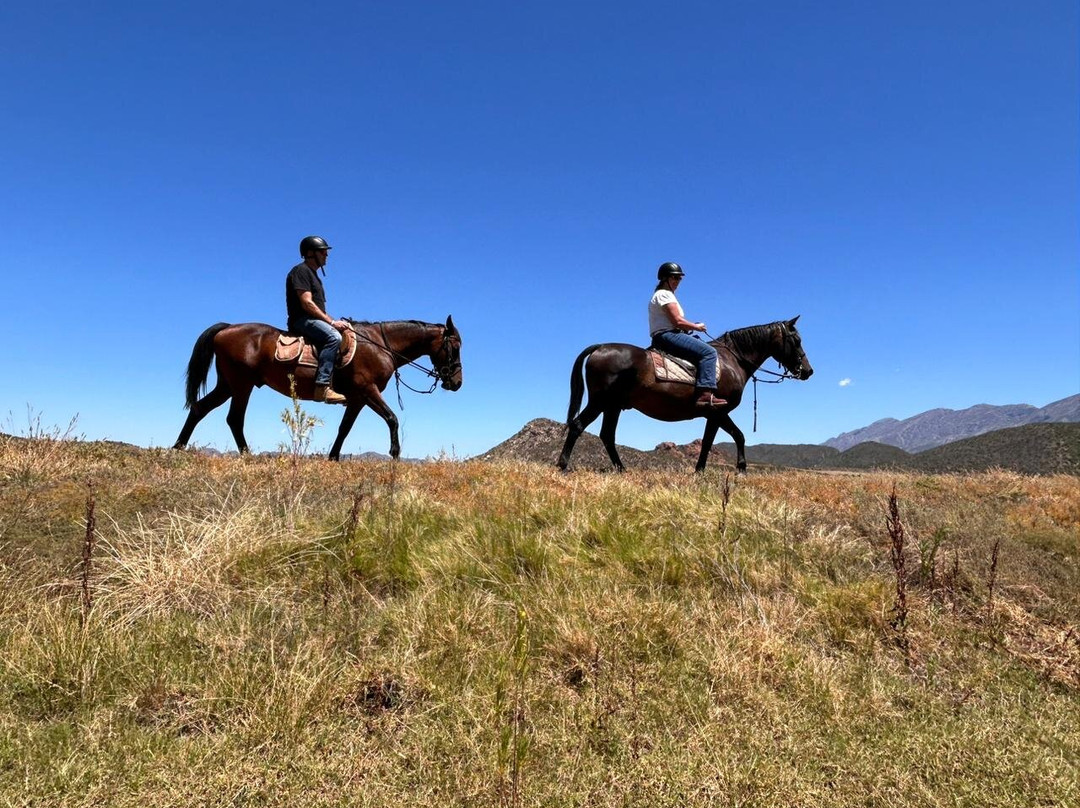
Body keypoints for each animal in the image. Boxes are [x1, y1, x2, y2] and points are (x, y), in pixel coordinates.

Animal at [173, 316, 462, 460]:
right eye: (456, 347)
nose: (457, 383)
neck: (380, 344)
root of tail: (227, 329)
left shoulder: (357, 398)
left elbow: (344, 429)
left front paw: (332, 459)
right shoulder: (368, 390)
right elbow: (392, 419)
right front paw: (395, 456)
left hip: (229, 385)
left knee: (200, 409)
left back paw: (177, 449)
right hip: (241, 385)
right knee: (234, 419)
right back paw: (247, 458)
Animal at [556, 317, 812, 473]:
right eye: (797, 340)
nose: (808, 371)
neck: (732, 361)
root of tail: (600, 347)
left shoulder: (713, 414)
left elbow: (709, 442)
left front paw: (699, 472)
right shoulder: (719, 411)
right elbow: (737, 436)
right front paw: (741, 469)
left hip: (614, 406)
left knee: (607, 435)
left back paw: (621, 469)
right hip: (601, 401)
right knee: (578, 425)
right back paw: (562, 465)